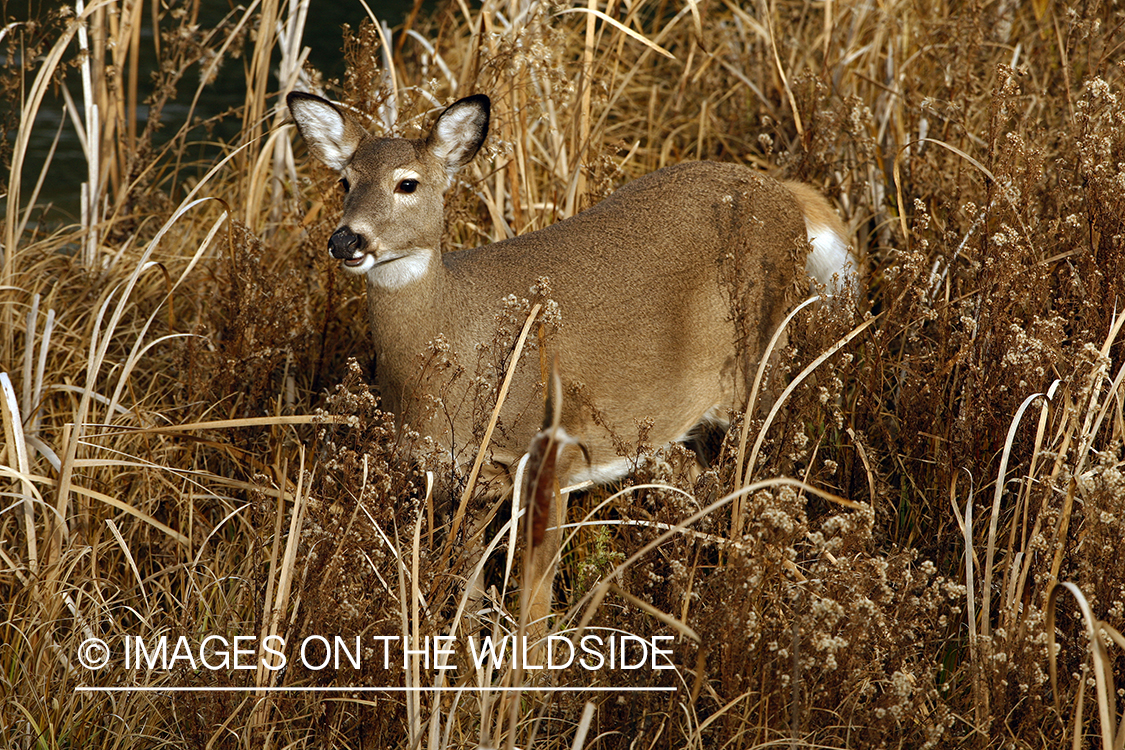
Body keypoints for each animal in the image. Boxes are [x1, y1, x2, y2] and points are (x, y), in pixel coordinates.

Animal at [288, 91, 850, 634]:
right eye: (344, 181)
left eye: (408, 183)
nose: (346, 239)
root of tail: (788, 195)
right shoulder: (460, 476)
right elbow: (467, 590)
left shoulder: (553, 452)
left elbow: (534, 605)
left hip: (763, 359)